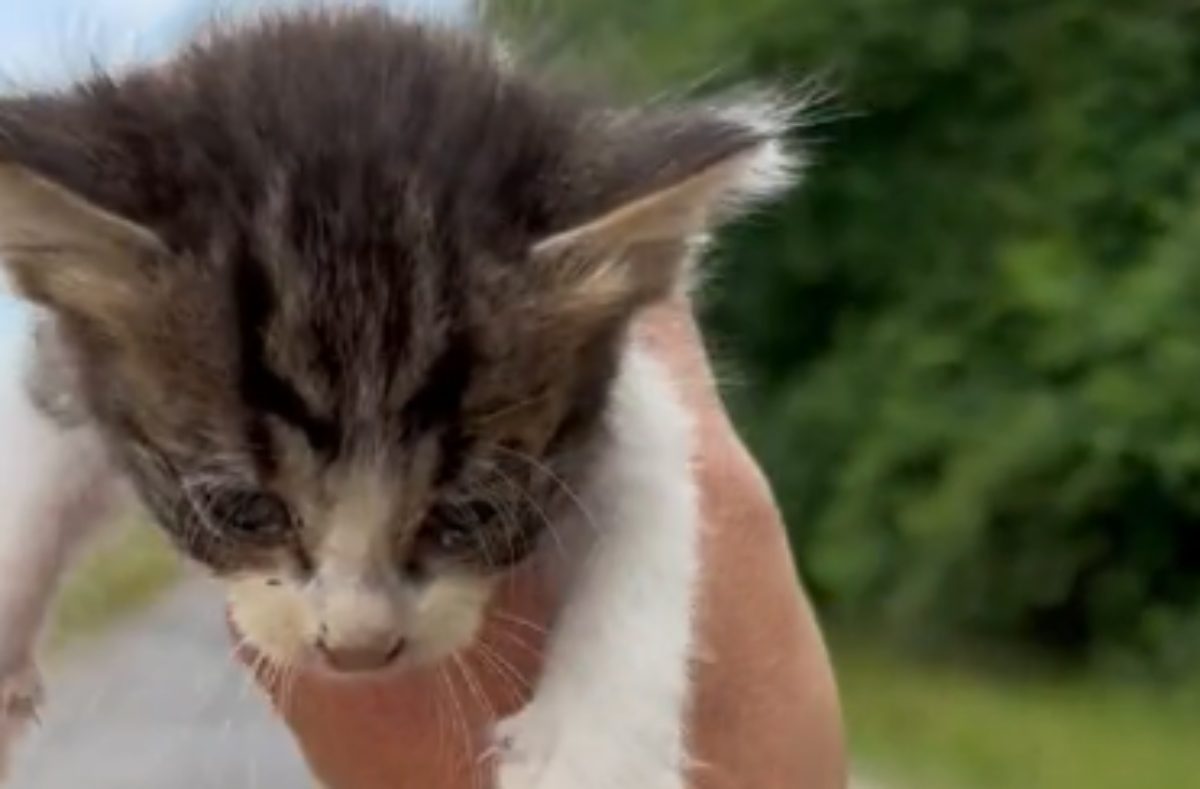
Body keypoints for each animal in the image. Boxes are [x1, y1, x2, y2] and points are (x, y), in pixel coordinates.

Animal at [0, 7, 796, 786]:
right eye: (242, 509)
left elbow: (652, 506)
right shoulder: (66, 358)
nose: (357, 647)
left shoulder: (632, 390)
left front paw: (592, 754)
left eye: (471, 513)